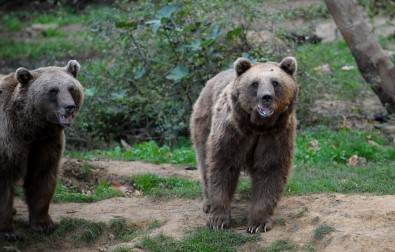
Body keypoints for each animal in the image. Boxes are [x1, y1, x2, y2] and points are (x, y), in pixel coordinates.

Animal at [0, 60, 84, 239]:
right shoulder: (9, 141)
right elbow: (4, 179)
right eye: (53, 90)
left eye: (71, 88)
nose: (69, 107)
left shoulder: (46, 142)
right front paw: (8, 232)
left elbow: (42, 175)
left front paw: (43, 224)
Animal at [190, 56, 298, 233]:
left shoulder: (275, 136)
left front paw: (258, 223)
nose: (266, 97)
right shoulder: (233, 133)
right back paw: (208, 204)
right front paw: (218, 220)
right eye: (254, 83)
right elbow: (222, 168)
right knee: (204, 161)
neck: (258, 126)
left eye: (275, 82)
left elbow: (270, 171)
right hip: (204, 119)